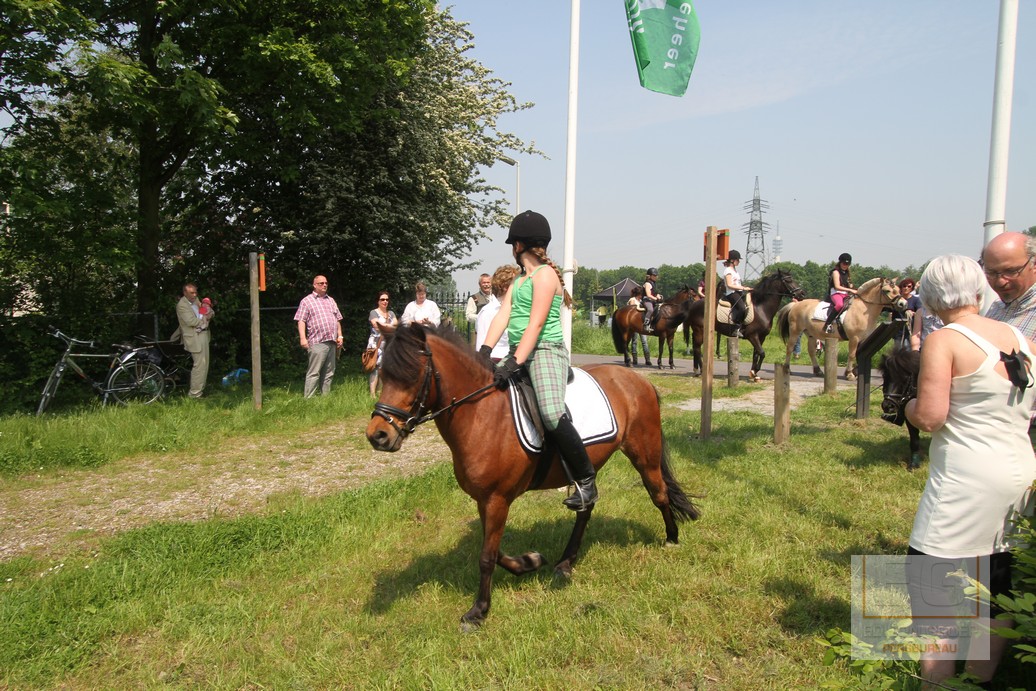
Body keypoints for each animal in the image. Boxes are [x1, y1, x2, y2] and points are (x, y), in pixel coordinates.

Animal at [366, 325, 700, 629]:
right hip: (591, 467)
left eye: (411, 374)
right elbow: (494, 550)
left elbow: (486, 557)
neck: (481, 414)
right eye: (383, 374)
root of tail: (638, 380)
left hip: (645, 455)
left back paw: (671, 539)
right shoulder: (485, 500)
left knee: (658, 493)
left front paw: (478, 611)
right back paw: (566, 562)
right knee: (587, 505)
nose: (377, 436)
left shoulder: (497, 499)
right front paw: (529, 562)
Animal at [775, 277, 907, 380]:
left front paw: (855, 372)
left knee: (811, 351)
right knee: (790, 348)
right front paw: (849, 374)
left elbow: (860, 354)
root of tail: (796, 304)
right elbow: (852, 354)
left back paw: (818, 371)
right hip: (795, 331)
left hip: (811, 334)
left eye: (898, 289)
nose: (903, 304)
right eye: (887, 291)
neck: (864, 308)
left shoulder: (863, 338)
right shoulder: (854, 338)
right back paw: (787, 369)